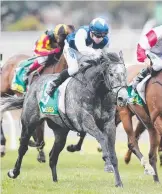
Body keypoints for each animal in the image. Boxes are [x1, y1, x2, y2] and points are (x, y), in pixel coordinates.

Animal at [0, 51, 128, 186]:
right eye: (111, 73)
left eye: (125, 73)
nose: (123, 98)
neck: (96, 91)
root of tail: (32, 87)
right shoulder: (85, 121)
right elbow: (102, 138)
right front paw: (107, 164)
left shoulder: (109, 124)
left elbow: (112, 152)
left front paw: (118, 182)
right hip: (29, 123)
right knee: (23, 147)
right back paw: (14, 172)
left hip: (60, 131)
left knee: (53, 156)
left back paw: (55, 181)